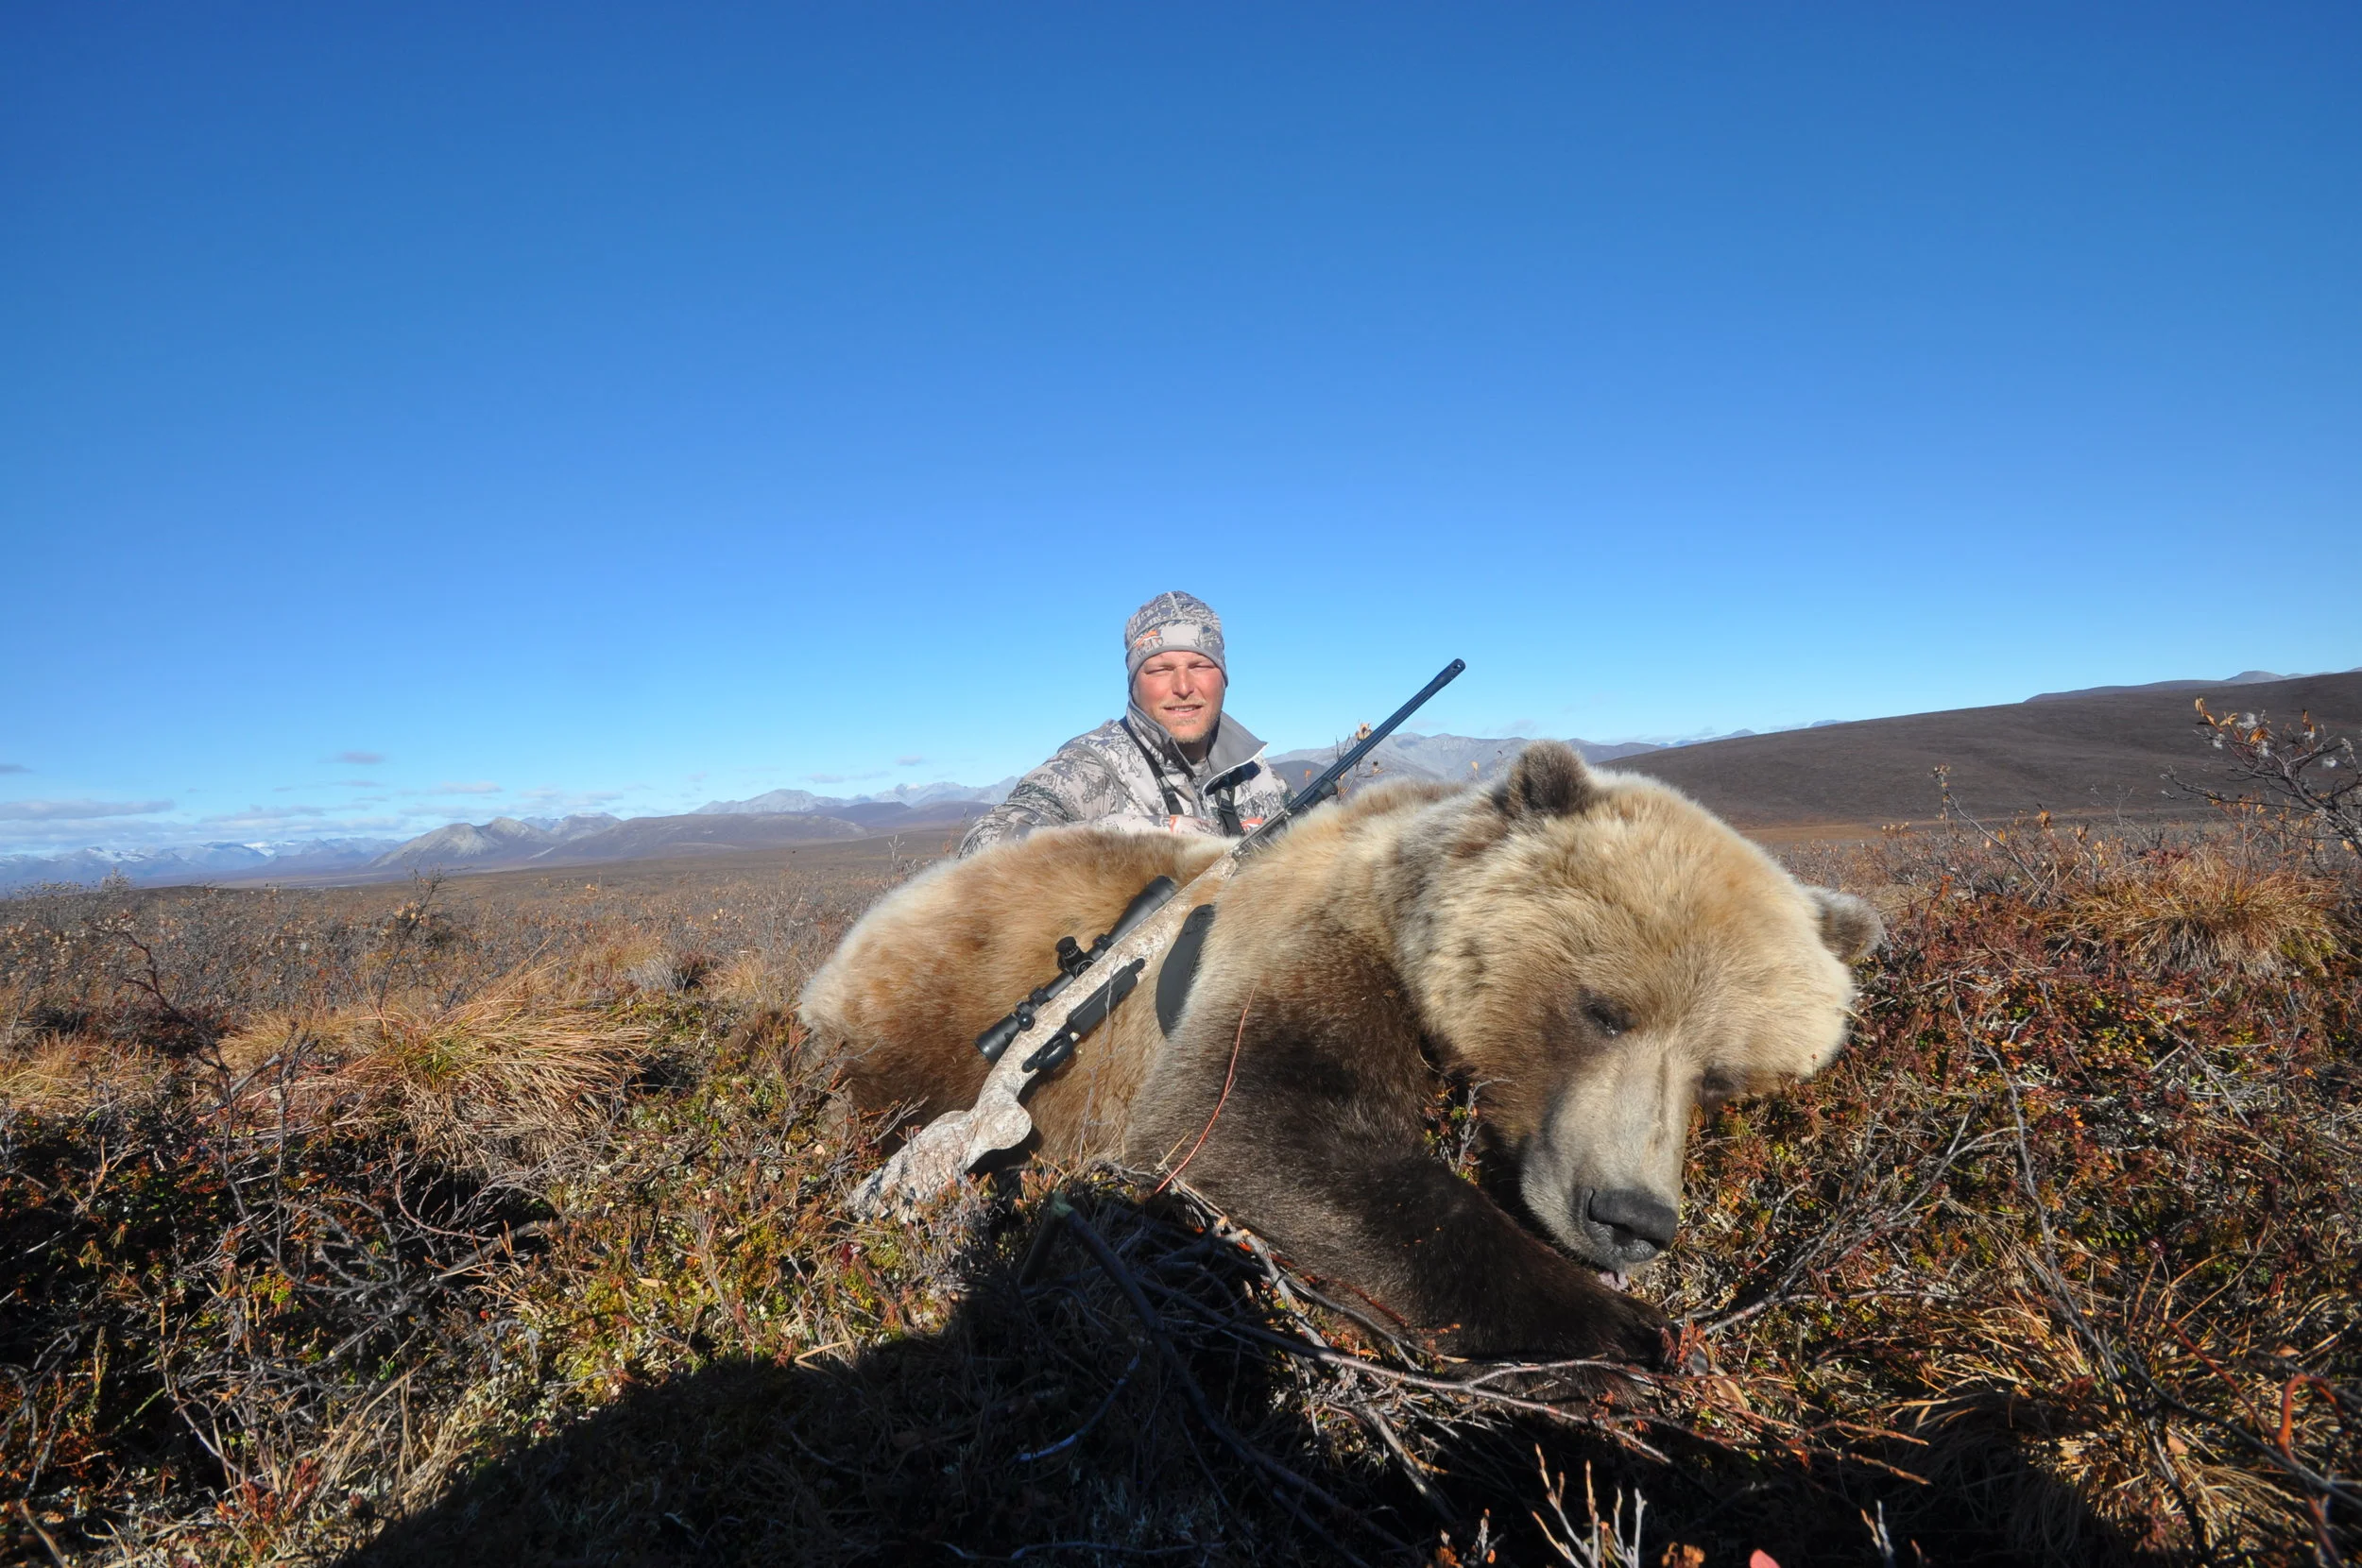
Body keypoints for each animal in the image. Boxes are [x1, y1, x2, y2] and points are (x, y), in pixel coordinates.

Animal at [799, 742, 1880, 1368]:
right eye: (1603, 1009)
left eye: (1722, 1076)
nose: (1631, 1218)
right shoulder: (1309, 953)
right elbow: (1246, 1124)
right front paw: (1618, 1333)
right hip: (927, 1006)